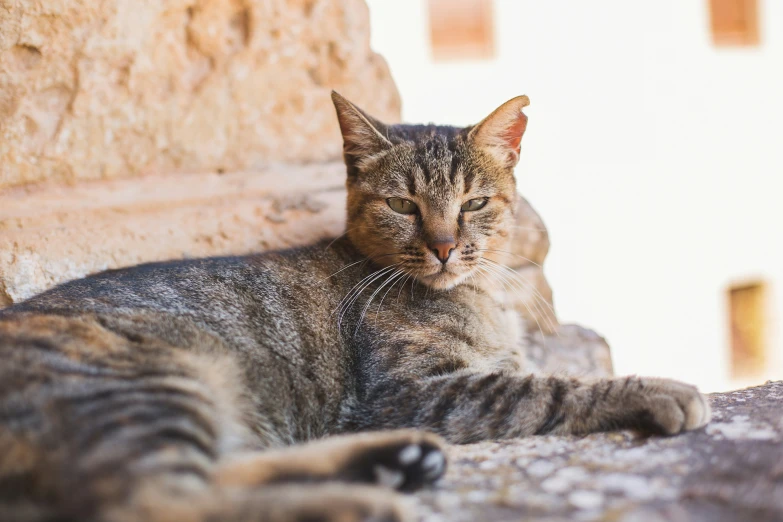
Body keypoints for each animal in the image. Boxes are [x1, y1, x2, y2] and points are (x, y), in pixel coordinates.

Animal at [0, 93, 712, 520]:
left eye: (474, 203)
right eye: (402, 205)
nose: (444, 246)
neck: (474, 299)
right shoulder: (415, 390)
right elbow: (554, 388)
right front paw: (654, 388)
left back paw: (391, 464)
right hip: (150, 378)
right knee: (158, 500)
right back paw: (364, 500)